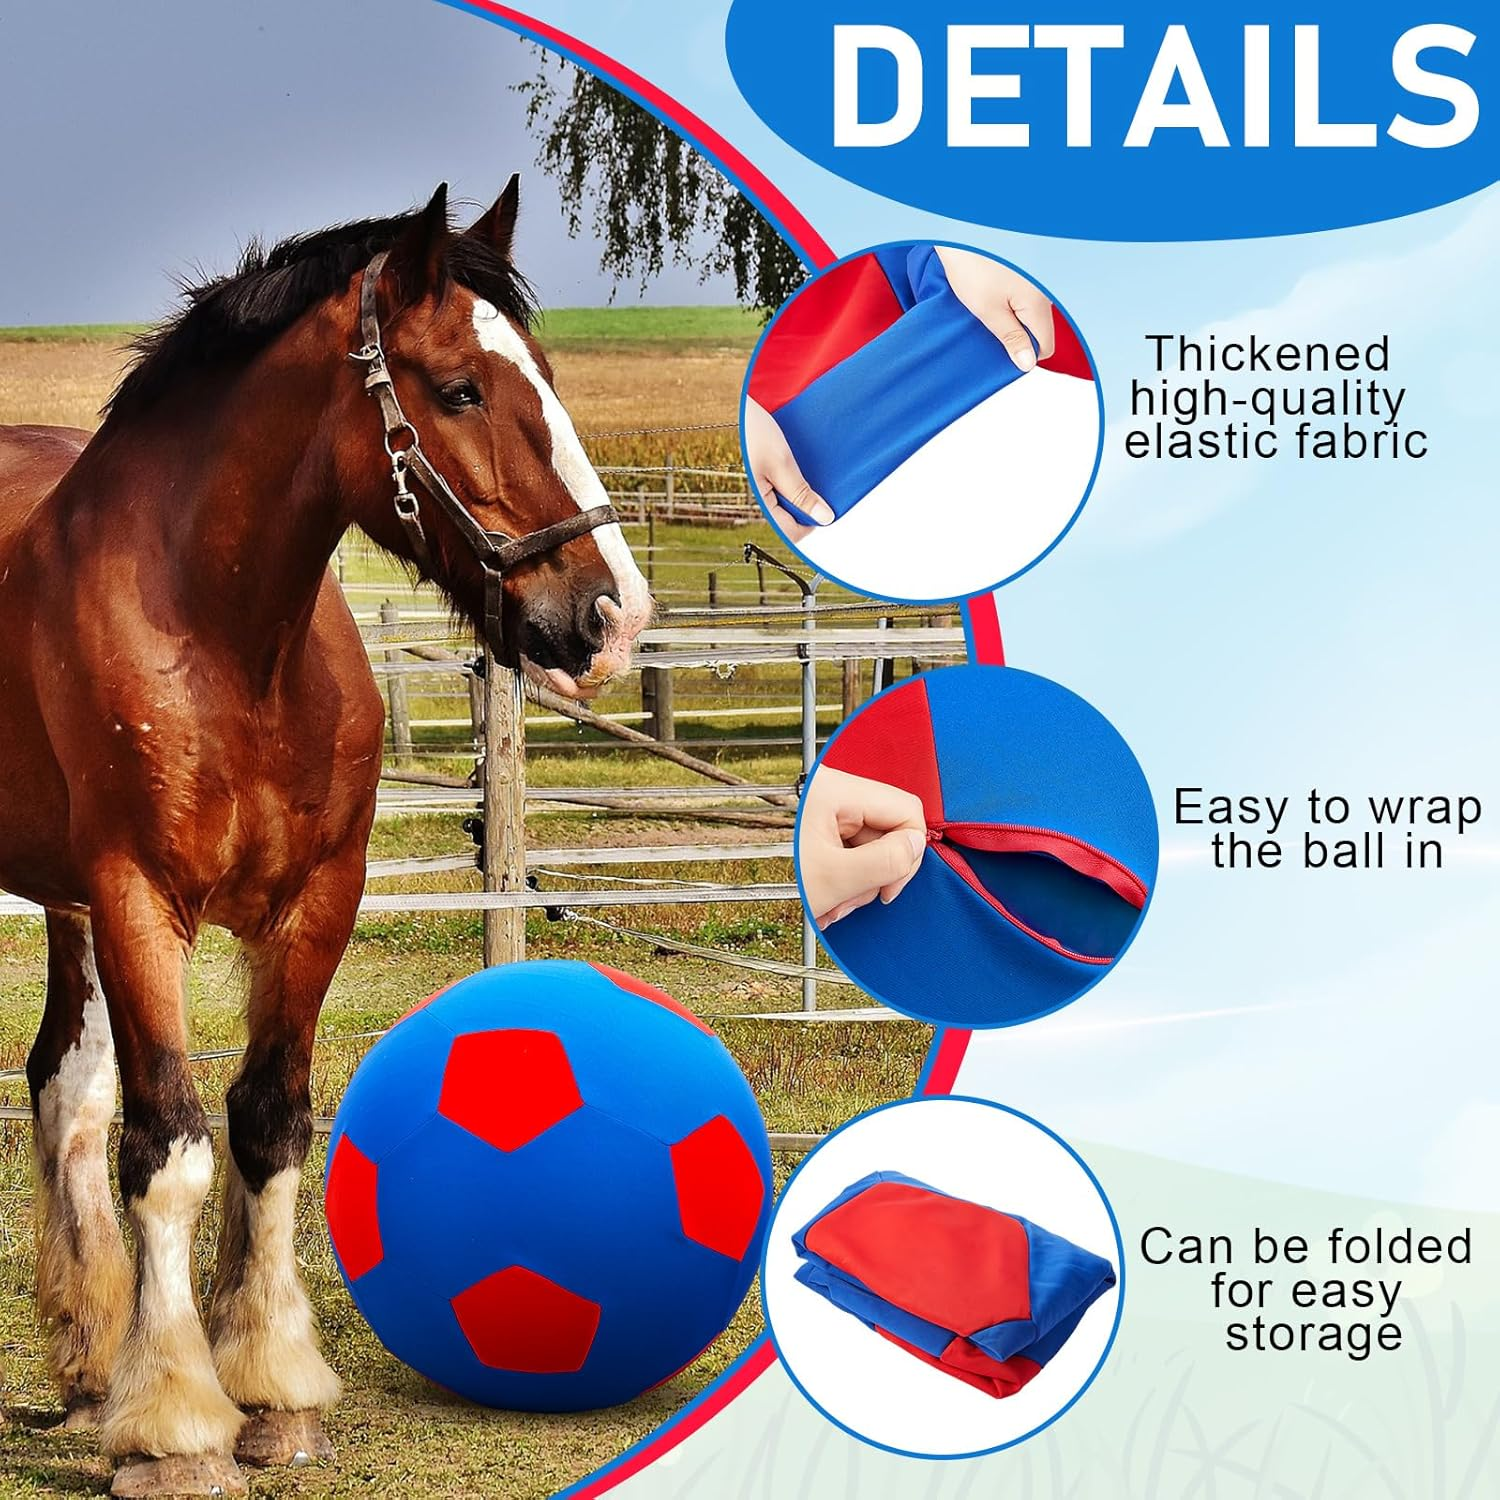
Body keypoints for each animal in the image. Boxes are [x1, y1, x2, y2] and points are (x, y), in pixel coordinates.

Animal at [0, 179, 651, 1496]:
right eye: (459, 388)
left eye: (549, 373)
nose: (611, 618)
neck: (226, 642)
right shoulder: (139, 899)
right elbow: (172, 1147)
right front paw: (177, 1427)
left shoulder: (313, 902)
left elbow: (266, 1125)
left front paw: (269, 1393)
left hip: (65, 905)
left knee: (64, 1087)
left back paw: (90, 1368)